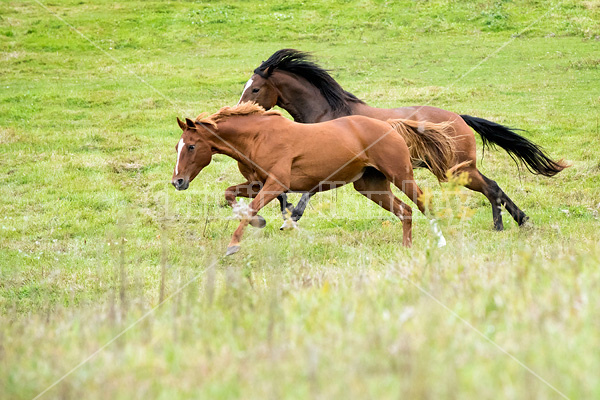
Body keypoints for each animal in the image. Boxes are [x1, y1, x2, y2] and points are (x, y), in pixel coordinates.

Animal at [171, 101, 462, 255]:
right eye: (177, 146)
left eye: (191, 146)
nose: (177, 182)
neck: (257, 138)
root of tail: (389, 125)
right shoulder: (257, 184)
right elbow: (231, 194)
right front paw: (260, 221)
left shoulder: (276, 184)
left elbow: (251, 207)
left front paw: (233, 244)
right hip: (371, 186)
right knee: (405, 211)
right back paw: (406, 247)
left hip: (400, 176)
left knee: (423, 203)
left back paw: (441, 242)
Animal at [237, 49, 564, 231]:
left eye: (255, 89)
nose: (242, 111)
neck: (328, 112)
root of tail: (458, 118)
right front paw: (287, 211)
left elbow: (306, 192)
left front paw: (292, 215)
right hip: (458, 169)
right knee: (493, 187)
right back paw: (520, 221)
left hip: (455, 170)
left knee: (491, 188)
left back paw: (501, 226)